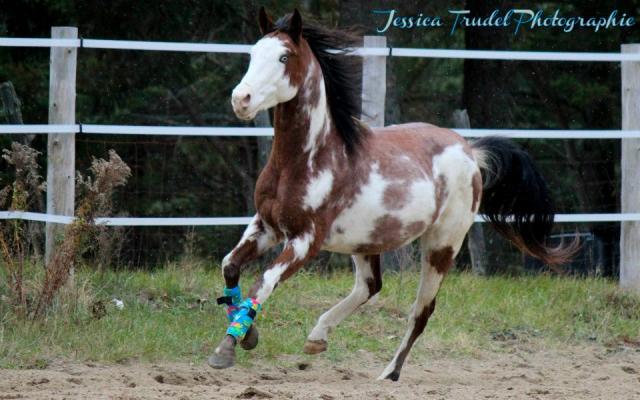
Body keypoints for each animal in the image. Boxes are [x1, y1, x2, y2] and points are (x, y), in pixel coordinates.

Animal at [207, 8, 577, 381]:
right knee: (370, 286)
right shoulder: (265, 226)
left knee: (421, 311)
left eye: (284, 57)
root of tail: (470, 150)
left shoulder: (305, 240)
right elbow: (229, 266)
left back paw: (389, 373)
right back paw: (317, 337)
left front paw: (226, 349)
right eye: (253, 54)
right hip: (365, 240)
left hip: (442, 245)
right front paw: (248, 334)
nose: (241, 100)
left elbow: (264, 282)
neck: (308, 158)